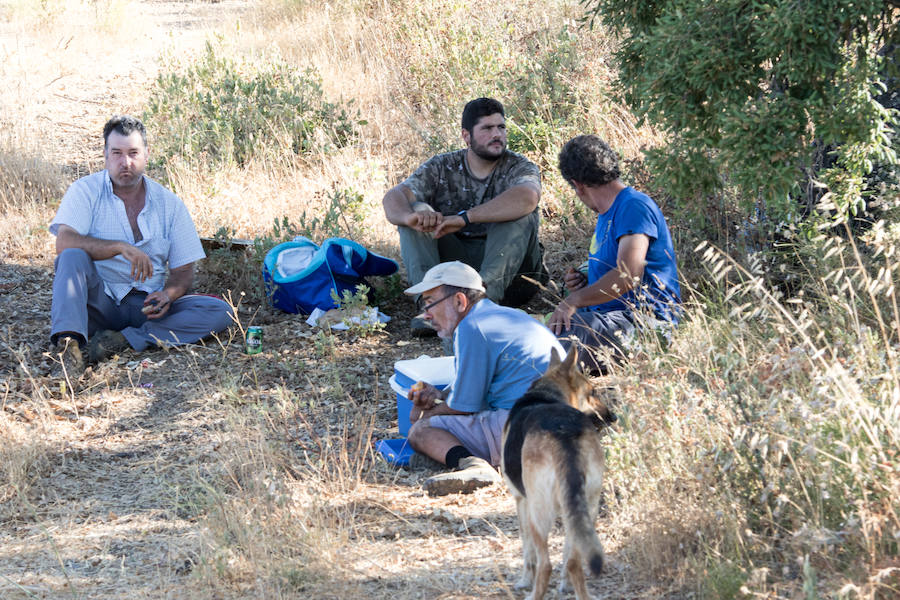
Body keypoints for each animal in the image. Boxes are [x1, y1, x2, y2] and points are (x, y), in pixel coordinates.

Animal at [500, 346, 620, 600]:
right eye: (592, 392)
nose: (614, 417)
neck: (547, 394)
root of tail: (564, 435)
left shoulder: (521, 501)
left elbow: (527, 552)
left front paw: (524, 581)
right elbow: (566, 558)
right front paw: (565, 586)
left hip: (539, 514)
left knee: (545, 564)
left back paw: (533, 595)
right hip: (587, 509)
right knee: (574, 562)